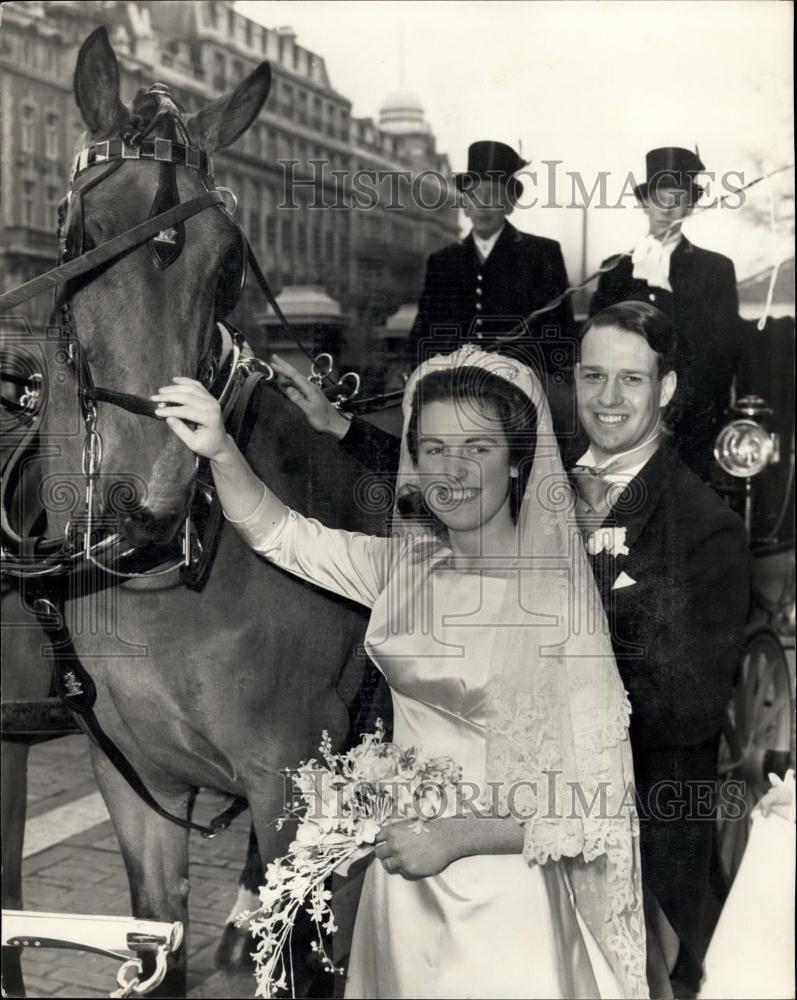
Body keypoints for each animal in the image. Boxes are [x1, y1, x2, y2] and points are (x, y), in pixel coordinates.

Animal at [1, 27, 394, 996]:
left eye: (229, 263)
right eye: (86, 235)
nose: (148, 500)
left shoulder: (293, 781)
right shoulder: (133, 782)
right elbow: (154, 941)